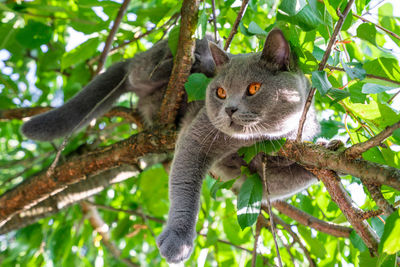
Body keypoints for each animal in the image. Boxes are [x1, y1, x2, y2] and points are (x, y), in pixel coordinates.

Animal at [21, 28, 320, 264]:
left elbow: (287, 178)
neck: (250, 141)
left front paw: (328, 151)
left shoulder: (250, 172)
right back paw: (191, 60)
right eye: (220, 92)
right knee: (133, 72)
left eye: (254, 88)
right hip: (152, 61)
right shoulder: (198, 136)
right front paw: (179, 241)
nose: (230, 109)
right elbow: (185, 186)